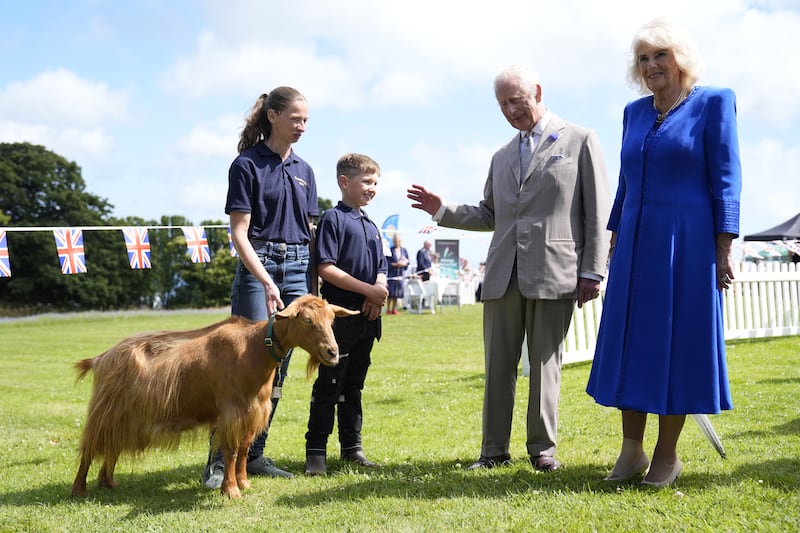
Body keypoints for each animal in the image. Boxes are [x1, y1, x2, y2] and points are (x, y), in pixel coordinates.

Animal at [70, 296, 358, 498]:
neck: (254, 348)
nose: (332, 352)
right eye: (307, 320)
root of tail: (101, 358)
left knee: (112, 446)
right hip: (106, 410)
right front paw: (231, 490)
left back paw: (108, 482)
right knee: (91, 446)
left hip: (125, 415)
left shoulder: (254, 412)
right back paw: (80, 489)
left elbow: (244, 448)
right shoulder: (231, 412)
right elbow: (230, 451)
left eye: (332, 319)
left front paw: (244, 482)